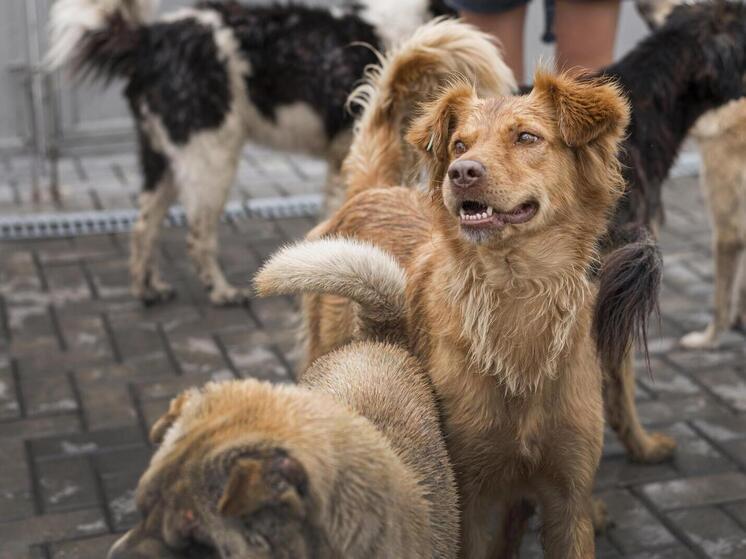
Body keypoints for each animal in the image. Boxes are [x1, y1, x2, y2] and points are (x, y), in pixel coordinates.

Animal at [50, 0, 512, 306]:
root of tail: (149, 39)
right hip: (210, 156)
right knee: (198, 234)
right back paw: (220, 291)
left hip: (162, 157)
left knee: (144, 224)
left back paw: (148, 288)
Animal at [258, 71, 668, 559]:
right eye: (458, 145)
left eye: (527, 137)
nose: (462, 172)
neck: (516, 295)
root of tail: (373, 189)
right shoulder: (467, 499)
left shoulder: (567, 498)